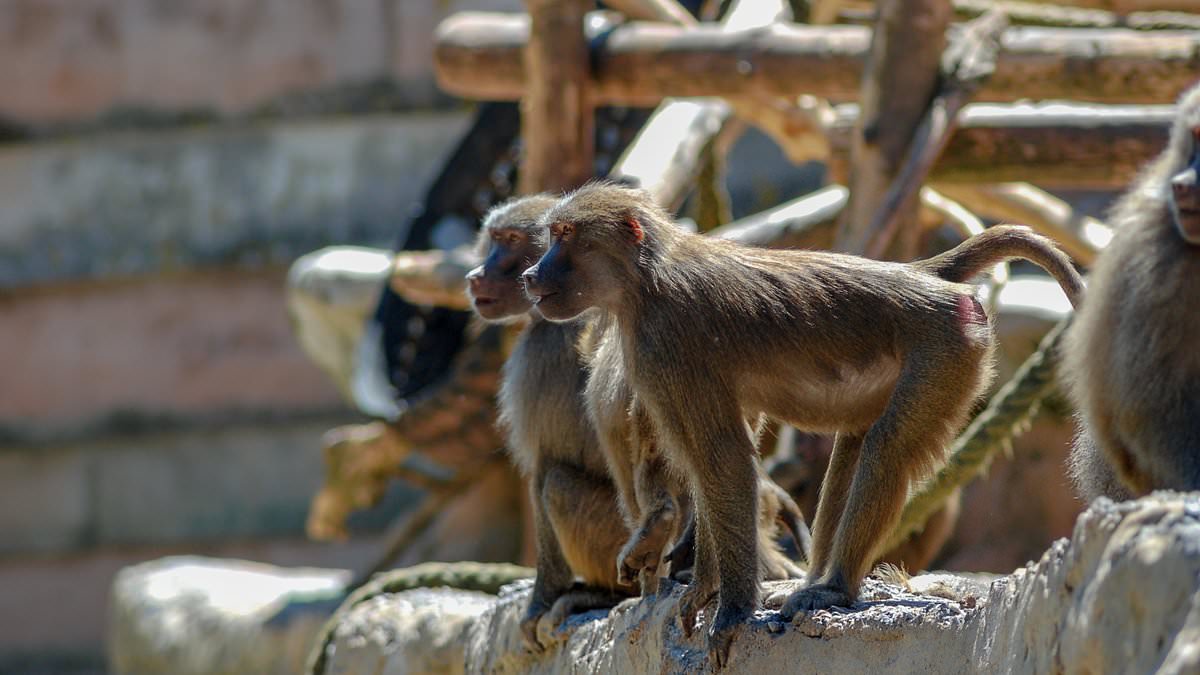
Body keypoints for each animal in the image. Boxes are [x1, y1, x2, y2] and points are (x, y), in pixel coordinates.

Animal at [521, 182, 1083, 666]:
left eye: (565, 236)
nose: (531, 275)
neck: (645, 277)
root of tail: (922, 277)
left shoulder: (667, 341)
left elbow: (723, 462)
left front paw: (732, 611)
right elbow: (709, 469)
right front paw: (702, 588)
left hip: (947, 346)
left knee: (886, 448)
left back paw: (836, 588)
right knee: (853, 451)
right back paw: (811, 584)